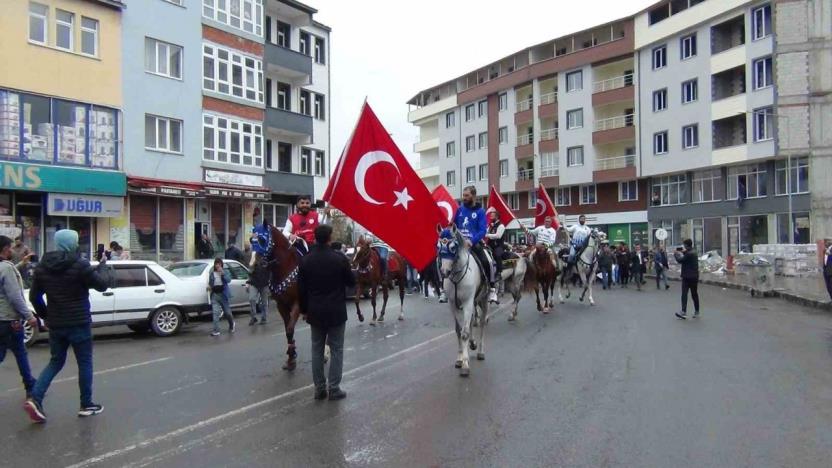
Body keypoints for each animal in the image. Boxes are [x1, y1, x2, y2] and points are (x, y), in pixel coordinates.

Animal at [250, 221, 306, 372]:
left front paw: (292, 354)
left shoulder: (297, 304)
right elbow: (287, 331)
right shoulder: (281, 305)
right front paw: (291, 358)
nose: (253, 265)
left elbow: (290, 329)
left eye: (262, 239)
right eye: (251, 240)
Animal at [438, 226, 490, 376]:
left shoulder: (467, 303)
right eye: (438, 246)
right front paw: (460, 359)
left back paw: (480, 351)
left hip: (483, 300)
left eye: (453, 247)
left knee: (482, 323)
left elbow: (465, 333)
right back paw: (472, 344)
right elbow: (458, 330)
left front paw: (465, 365)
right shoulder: (453, 304)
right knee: (472, 321)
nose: (444, 271)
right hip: (472, 303)